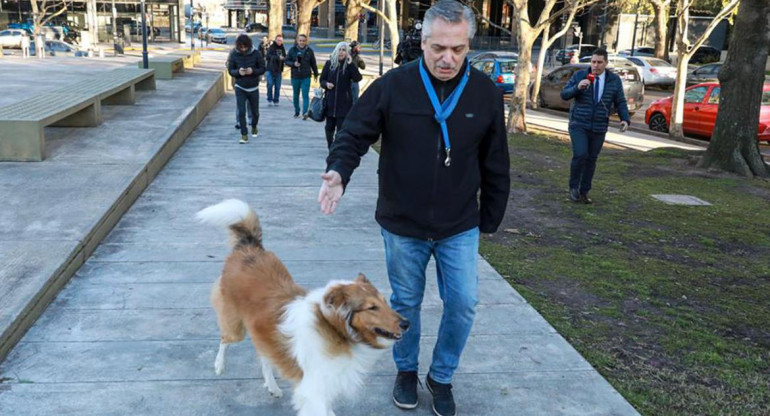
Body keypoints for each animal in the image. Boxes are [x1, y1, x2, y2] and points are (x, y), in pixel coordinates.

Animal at [196, 200, 408, 414]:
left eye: (384, 301)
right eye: (372, 308)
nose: (407, 324)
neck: (335, 328)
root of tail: (249, 246)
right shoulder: (313, 390)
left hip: (263, 333)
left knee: (264, 357)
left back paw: (272, 386)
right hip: (235, 328)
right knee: (224, 339)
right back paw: (219, 365)